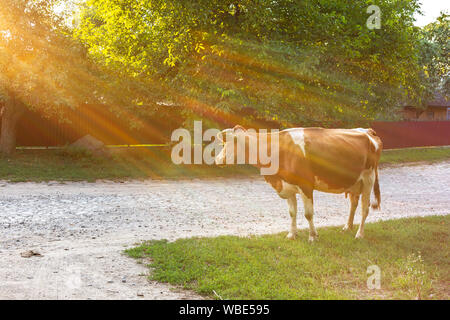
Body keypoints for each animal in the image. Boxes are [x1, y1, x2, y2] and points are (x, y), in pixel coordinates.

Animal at [213, 126, 382, 241]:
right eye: (223, 144)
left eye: (231, 143)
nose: (218, 160)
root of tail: (368, 131)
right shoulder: (288, 186)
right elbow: (292, 212)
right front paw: (291, 234)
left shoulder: (305, 186)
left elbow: (308, 214)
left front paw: (313, 236)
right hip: (355, 183)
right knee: (353, 204)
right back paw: (347, 227)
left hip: (368, 179)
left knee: (365, 208)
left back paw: (359, 233)